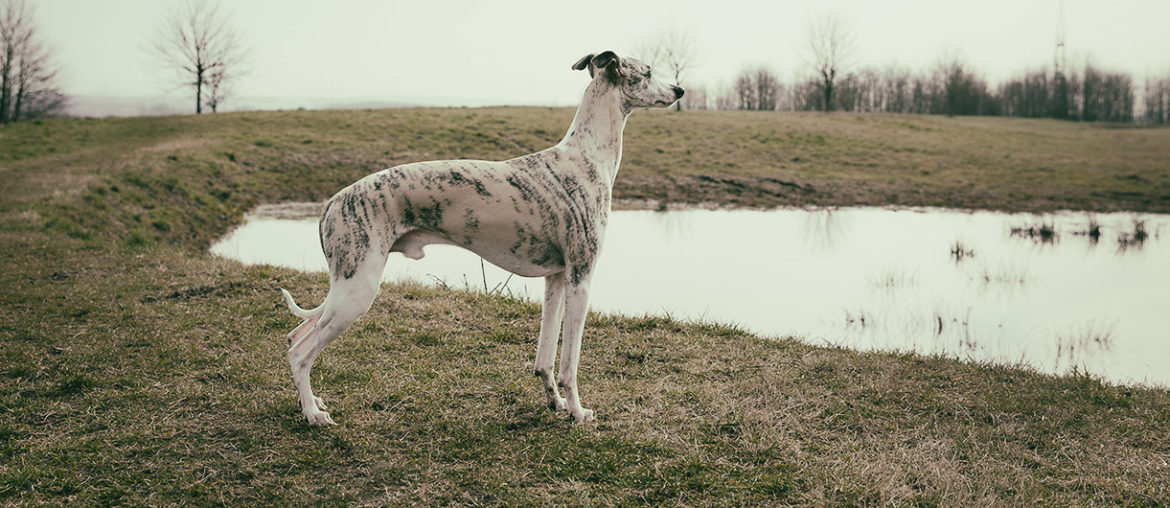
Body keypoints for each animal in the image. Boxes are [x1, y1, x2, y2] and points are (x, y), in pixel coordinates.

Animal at [280, 50, 683, 423]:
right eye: (647, 72)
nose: (679, 90)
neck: (586, 157)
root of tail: (331, 202)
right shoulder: (581, 279)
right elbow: (569, 364)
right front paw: (577, 412)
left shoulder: (556, 279)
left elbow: (544, 357)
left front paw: (553, 402)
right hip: (357, 289)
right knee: (300, 352)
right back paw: (313, 415)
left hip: (345, 288)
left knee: (296, 334)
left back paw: (313, 402)